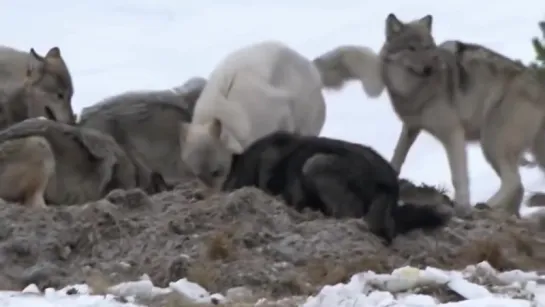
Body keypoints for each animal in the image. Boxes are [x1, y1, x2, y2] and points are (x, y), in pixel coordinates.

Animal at [178, 40, 382, 195]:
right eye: (198, 176)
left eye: (217, 172)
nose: (215, 197)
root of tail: (311, 66)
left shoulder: (279, 118)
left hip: (306, 126)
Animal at [308, 13, 544, 217]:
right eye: (411, 48)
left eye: (428, 47)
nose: (429, 68)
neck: (415, 91)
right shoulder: (411, 127)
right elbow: (397, 157)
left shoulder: (453, 134)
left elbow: (459, 177)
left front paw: (462, 208)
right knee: (518, 186)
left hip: (491, 144)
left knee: (514, 182)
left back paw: (485, 206)